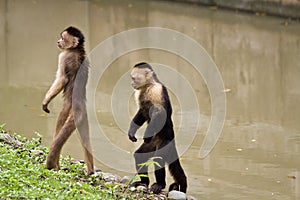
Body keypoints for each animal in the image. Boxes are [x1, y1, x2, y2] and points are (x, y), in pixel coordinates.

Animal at [41, 26, 94, 175]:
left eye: (63, 38)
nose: (58, 42)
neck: (76, 49)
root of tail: (77, 104)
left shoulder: (64, 56)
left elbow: (62, 79)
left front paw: (45, 102)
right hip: (82, 117)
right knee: (85, 138)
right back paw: (90, 172)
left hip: (66, 111)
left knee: (58, 130)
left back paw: (55, 166)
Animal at [128, 62, 188, 194]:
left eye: (134, 78)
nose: (131, 84)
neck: (148, 85)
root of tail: (172, 139)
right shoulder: (139, 92)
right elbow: (141, 112)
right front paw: (131, 131)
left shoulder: (156, 90)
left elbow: (159, 112)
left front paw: (146, 135)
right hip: (152, 143)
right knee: (140, 155)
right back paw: (143, 182)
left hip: (165, 142)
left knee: (159, 158)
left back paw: (160, 184)